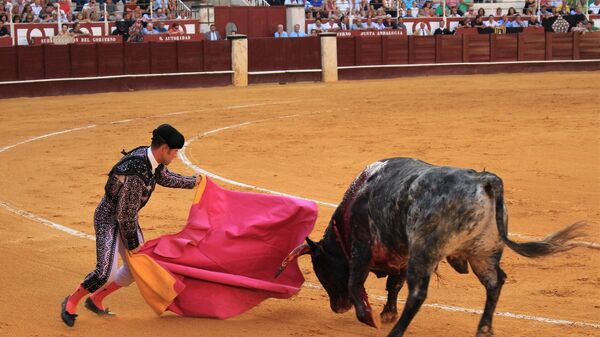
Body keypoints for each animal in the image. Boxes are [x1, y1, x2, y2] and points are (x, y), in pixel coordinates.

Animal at [276, 158, 584, 336]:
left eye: (321, 271)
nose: (338, 308)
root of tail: (484, 180)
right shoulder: (400, 256)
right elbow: (392, 286)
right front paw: (387, 313)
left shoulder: (363, 246)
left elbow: (356, 282)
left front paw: (371, 317)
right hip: (483, 252)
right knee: (495, 282)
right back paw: (484, 329)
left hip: (425, 251)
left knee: (418, 294)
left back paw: (396, 333)